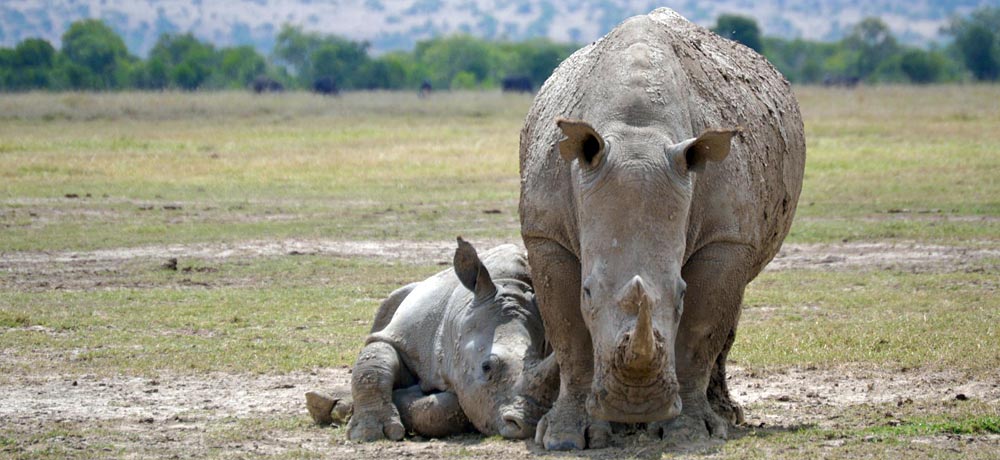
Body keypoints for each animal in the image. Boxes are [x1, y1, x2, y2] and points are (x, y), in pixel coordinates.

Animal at [340, 238, 558, 441]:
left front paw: (404, 396)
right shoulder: (400, 338)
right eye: (486, 367)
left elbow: (442, 408)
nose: (527, 425)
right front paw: (369, 434)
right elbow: (374, 365)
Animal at [518, 8, 806, 449]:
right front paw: (566, 438)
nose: (634, 404)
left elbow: (700, 332)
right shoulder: (546, 234)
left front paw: (689, 433)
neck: (637, 132)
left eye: (680, 294)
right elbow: (570, 334)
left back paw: (727, 416)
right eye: (588, 292)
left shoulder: (725, 237)